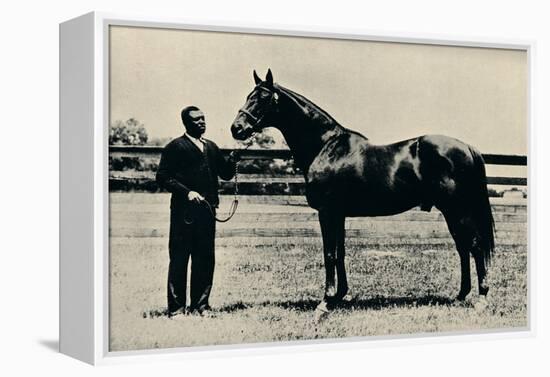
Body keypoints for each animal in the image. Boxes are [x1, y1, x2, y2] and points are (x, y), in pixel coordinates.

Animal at [231, 70, 498, 314]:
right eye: (248, 96)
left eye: (263, 97)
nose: (237, 128)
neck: (326, 147)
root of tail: (467, 147)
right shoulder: (338, 214)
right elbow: (340, 252)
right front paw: (340, 295)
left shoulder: (327, 212)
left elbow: (329, 253)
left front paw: (325, 303)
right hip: (451, 211)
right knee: (463, 247)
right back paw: (461, 295)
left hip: (458, 209)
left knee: (475, 246)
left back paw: (481, 299)